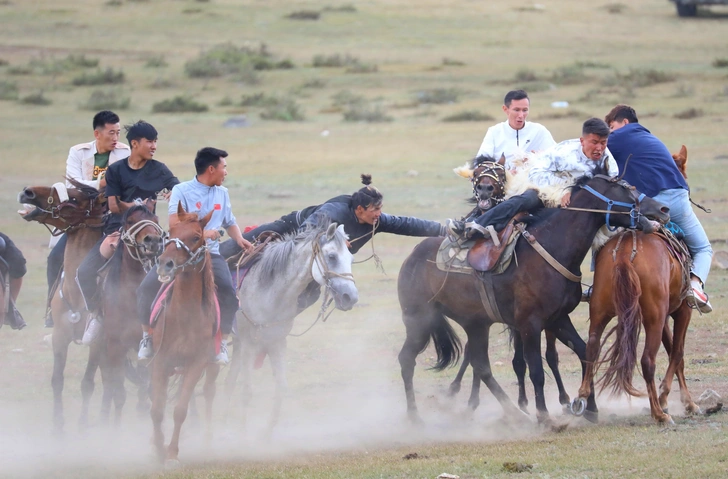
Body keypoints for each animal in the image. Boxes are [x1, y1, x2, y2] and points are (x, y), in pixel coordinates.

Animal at [17, 181, 106, 436]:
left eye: (74, 198)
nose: (27, 192)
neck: (78, 292)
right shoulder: (60, 336)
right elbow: (57, 380)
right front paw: (58, 425)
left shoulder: (97, 342)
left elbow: (87, 383)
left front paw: (83, 424)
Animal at [97, 204, 163, 426]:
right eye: (130, 221)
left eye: (156, 219)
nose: (153, 241)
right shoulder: (115, 346)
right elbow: (118, 393)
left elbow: (148, 387)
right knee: (108, 383)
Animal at [146, 204, 219, 466]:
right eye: (171, 232)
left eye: (196, 237)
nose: (165, 264)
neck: (185, 317)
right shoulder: (160, 361)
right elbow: (157, 409)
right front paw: (158, 448)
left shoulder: (196, 364)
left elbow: (180, 410)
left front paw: (171, 453)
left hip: (211, 367)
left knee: (208, 394)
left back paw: (208, 440)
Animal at [398, 168, 672, 424]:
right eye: (626, 188)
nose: (662, 208)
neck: (554, 247)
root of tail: (412, 258)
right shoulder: (530, 324)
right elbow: (536, 370)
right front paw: (544, 416)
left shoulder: (557, 319)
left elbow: (585, 353)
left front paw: (589, 406)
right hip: (419, 321)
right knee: (407, 359)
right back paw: (414, 417)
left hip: (475, 324)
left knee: (481, 366)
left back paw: (514, 413)